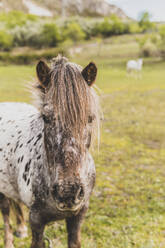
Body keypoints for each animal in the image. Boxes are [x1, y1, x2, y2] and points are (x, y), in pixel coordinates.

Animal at [0, 55, 99, 248]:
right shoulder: (37, 220)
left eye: (90, 118)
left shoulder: (78, 215)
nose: (68, 192)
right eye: (45, 117)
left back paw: (20, 229)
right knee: (6, 210)